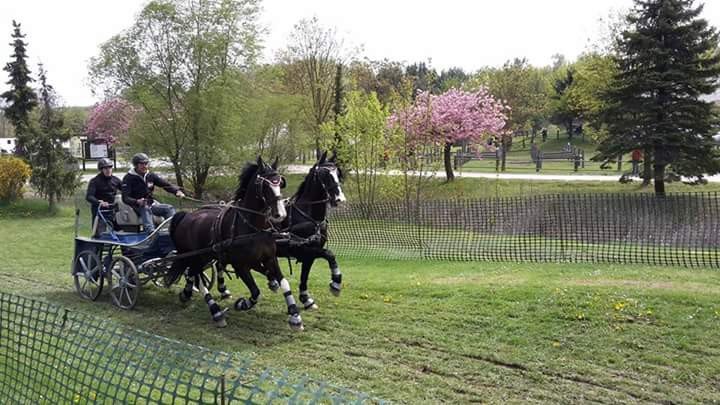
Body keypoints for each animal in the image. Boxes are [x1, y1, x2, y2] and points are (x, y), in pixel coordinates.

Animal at [167, 156, 304, 330]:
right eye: (265, 185)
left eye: (280, 183)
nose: (280, 214)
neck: (253, 228)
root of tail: (186, 216)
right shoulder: (240, 265)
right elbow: (255, 292)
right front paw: (242, 304)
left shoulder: (269, 259)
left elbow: (284, 283)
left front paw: (295, 316)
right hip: (197, 256)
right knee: (197, 277)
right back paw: (215, 312)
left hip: (201, 257)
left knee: (193, 274)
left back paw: (187, 293)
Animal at [215, 150, 348, 310]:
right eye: (325, 174)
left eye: (337, 173)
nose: (340, 199)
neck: (307, 215)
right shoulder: (302, 249)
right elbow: (329, 254)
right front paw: (335, 283)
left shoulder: (309, 254)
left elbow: (305, 275)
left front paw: (306, 298)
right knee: (219, 264)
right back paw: (224, 289)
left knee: (221, 264)